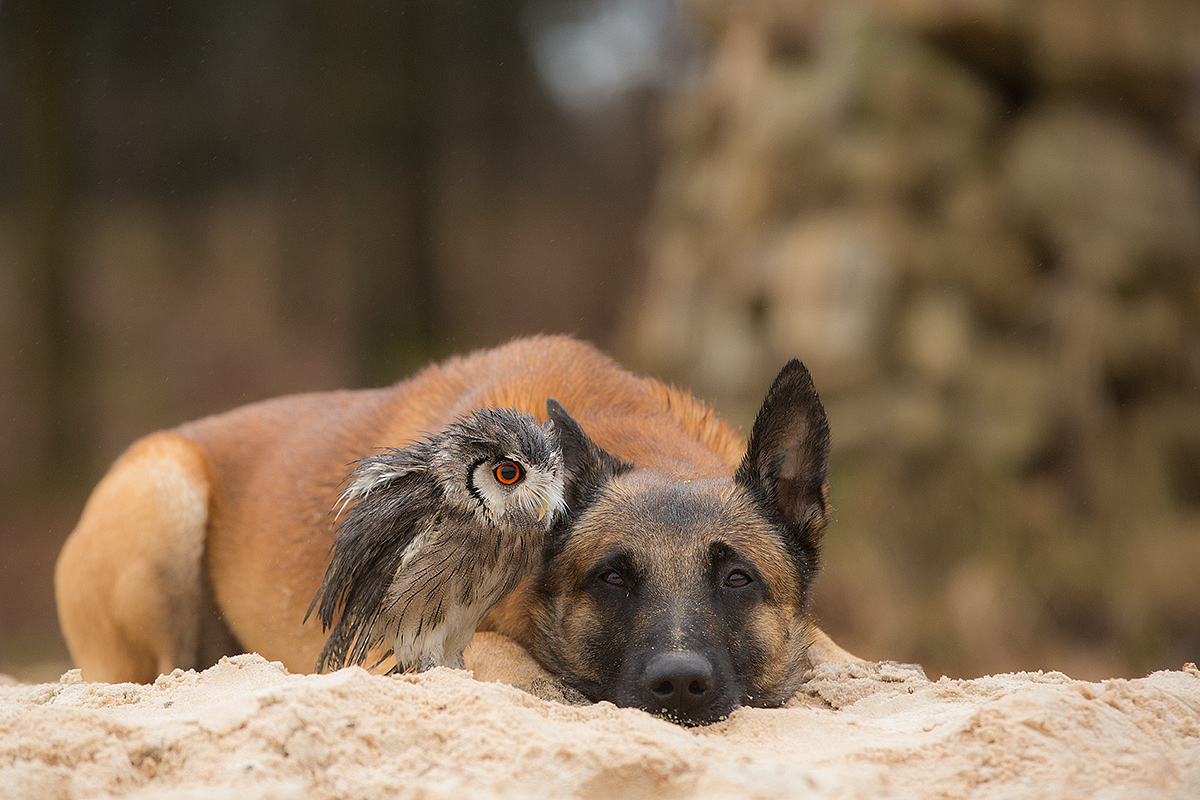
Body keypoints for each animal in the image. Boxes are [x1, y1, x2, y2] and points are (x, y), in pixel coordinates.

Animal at [56, 335, 859, 724]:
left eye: (738, 579)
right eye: (612, 577)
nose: (681, 684)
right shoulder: (395, 651)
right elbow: (522, 673)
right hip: (162, 491)